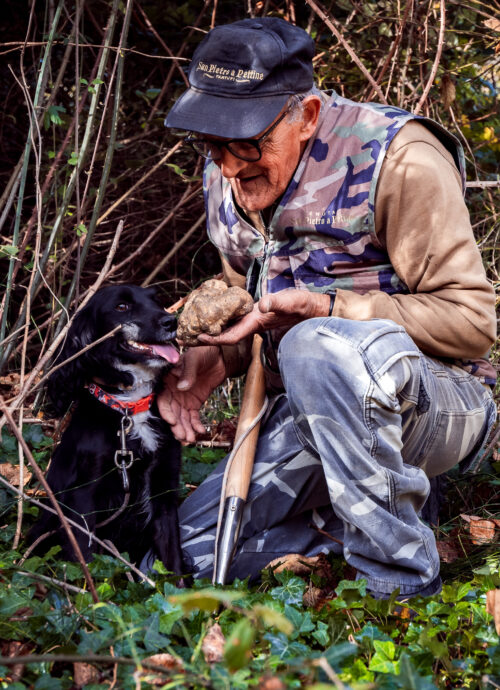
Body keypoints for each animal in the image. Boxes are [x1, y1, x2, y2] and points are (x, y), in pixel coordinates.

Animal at [27, 282, 184, 572]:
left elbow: (173, 563)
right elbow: (85, 557)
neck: (129, 407)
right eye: (122, 306)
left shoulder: (164, 488)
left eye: (156, 300)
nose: (171, 321)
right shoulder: (83, 497)